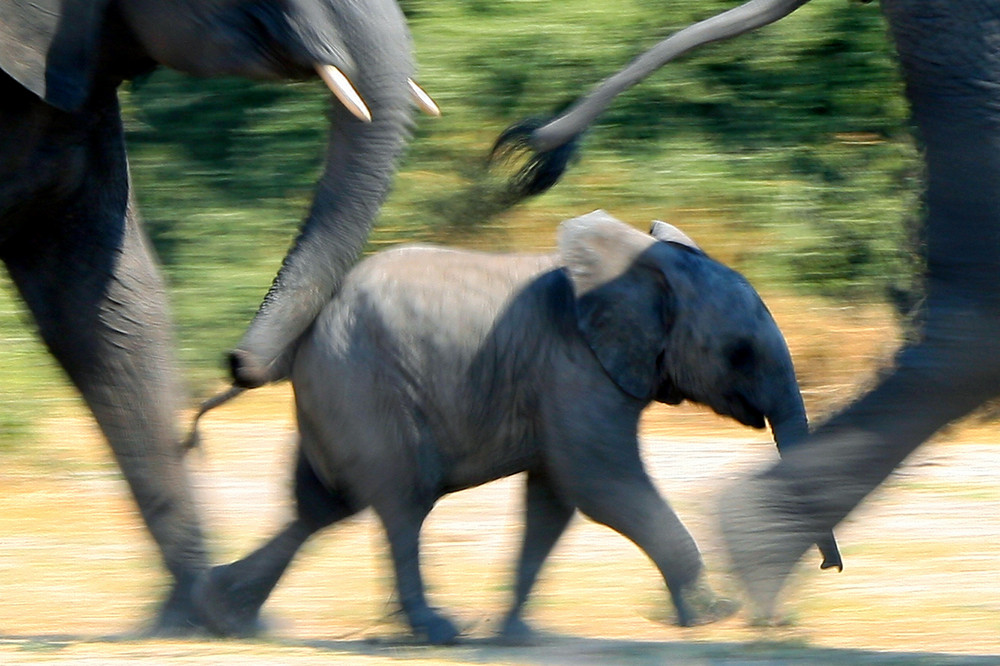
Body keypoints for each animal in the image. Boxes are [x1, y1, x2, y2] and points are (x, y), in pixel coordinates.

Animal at [191, 210, 840, 640]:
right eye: (739, 353)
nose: (829, 570)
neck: (640, 267)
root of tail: (294, 343)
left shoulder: (559, 378)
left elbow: (553, 500)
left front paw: (514, 634)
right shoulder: (574, 366)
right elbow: (600, 482)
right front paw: (714, 614)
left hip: (338, 396)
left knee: (320, 507)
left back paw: (225, 615)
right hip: (361, 387)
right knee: (401, 503)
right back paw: (437, 631)